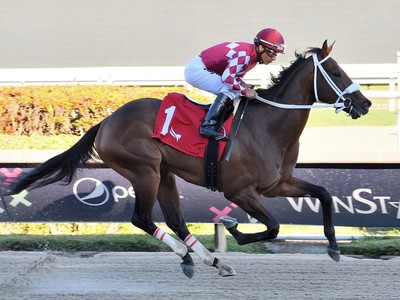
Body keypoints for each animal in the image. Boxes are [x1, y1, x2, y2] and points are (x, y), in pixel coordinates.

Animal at [0, 40, 370, 278]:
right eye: (336, 72)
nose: (364, 104)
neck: (267, 125)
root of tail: (106, 122)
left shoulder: (279, 183)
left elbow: (323, 194)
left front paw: (334, 247)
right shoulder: (239, 191)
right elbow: (273, 226)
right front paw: (233, 228)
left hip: (164, 173)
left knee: (176, 220)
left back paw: (210, 262)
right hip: (144, 171)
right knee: (141, 218)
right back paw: (186, 255)